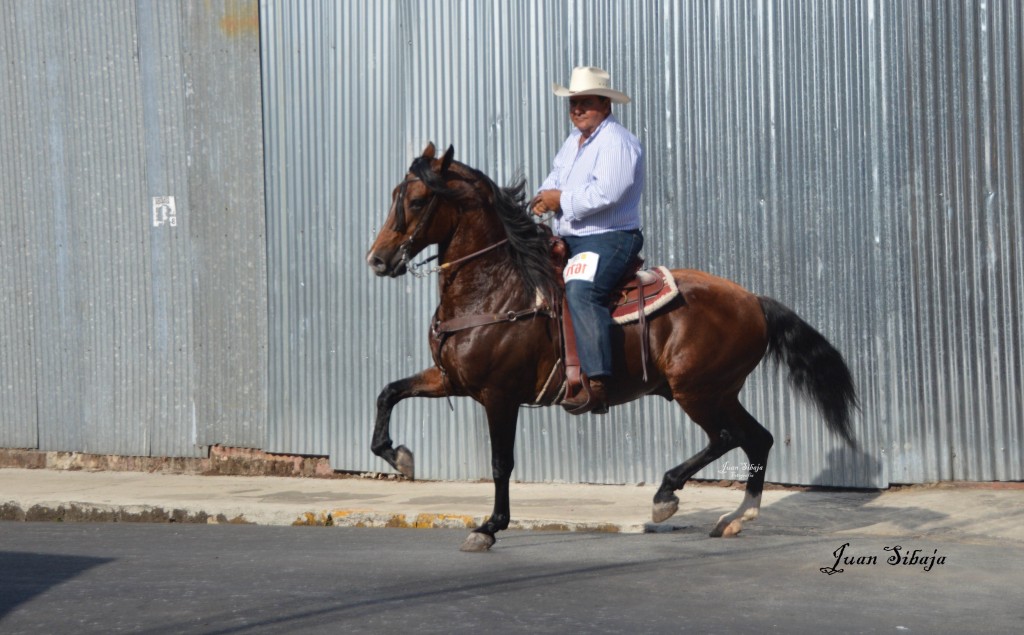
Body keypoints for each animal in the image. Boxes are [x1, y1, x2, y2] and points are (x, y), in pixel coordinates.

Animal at [364, 142, 860, 548]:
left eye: (417, 200)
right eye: (394, 195)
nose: (377, 259)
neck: (500, 289)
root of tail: (753, 300)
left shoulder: (498, 395)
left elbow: (501, 462)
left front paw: (489, 527)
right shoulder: (450, 379)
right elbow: (388, 392)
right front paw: (398, 456)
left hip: (696, 391)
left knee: (726, 437)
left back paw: (666, 494)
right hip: (720, 391)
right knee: (758, 439)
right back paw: (736, 518)